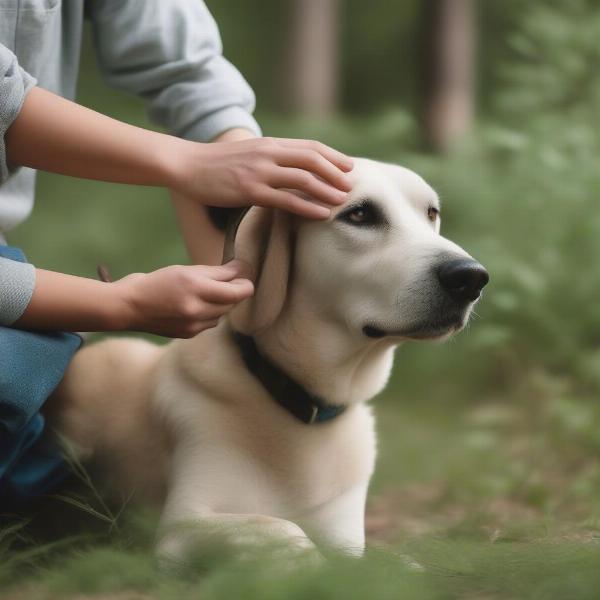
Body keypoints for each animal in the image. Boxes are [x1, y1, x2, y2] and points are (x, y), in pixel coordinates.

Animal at [45, 157, 488, 560]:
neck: (300, 406)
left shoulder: (345, 535)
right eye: (360, 214)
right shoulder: (183, 525)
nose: (471, 277)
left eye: (431, 213)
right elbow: (284, 529)